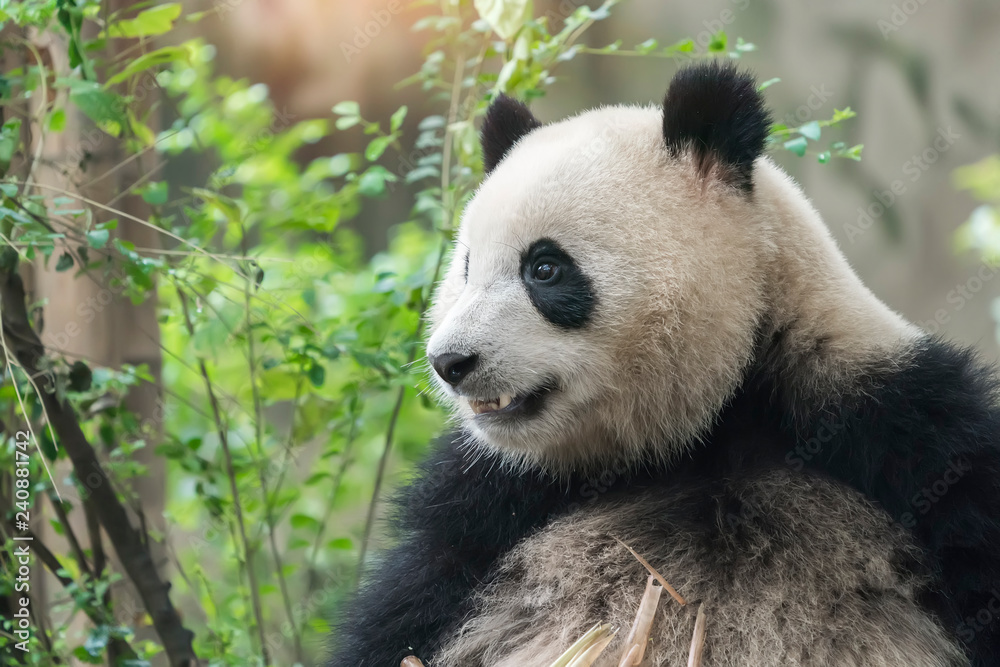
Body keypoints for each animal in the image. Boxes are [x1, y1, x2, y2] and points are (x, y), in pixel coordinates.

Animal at [331, 62, 1000, 666]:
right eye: (467, 268)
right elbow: (407, 614)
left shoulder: (897, 425)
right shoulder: (490, 502)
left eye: (544, 268)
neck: (707, 424)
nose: (451, 361)